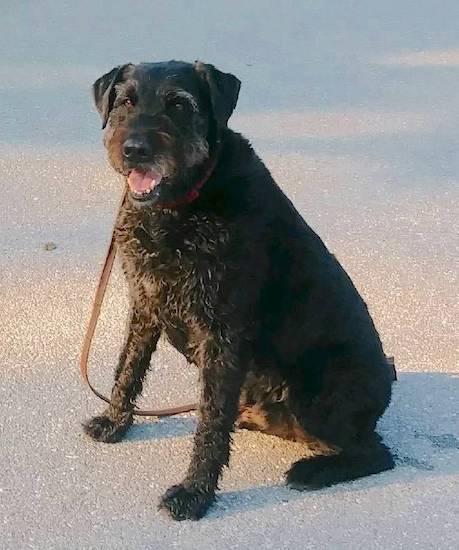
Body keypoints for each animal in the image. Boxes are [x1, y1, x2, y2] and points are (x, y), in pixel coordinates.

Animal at [84, 60, 398, 520]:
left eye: (180, 105)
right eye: (125, 101)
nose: (135, 149)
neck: (181, 206)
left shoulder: (222, 330)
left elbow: (211, 422)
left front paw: (195, 492)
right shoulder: (145, 303)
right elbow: (128, 368)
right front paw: (115, 421)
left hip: (316, 396)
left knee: (376, 452)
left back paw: (313, 470)